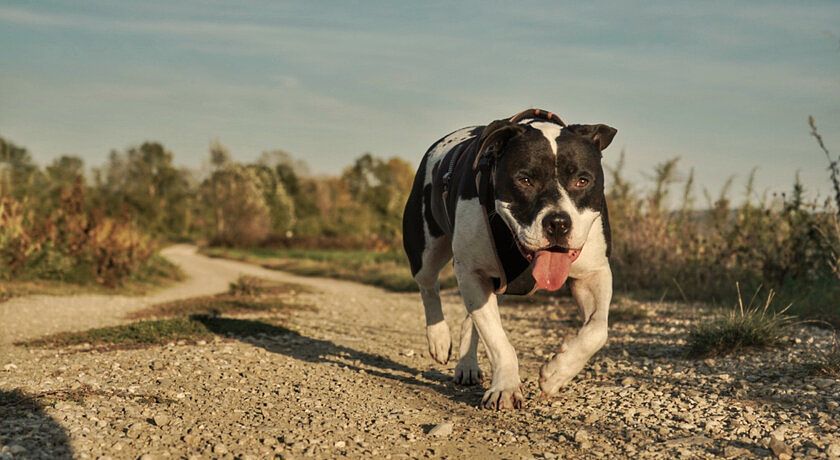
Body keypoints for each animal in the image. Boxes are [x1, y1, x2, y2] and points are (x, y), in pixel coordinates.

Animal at [402, 108, 616, 410]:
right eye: (524, 179)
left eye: (582, 181)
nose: (558, 223)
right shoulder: (473, 273)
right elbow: (498, 341)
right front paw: (505, 387)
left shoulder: (593, 273)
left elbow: (597, 330)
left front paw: (557, 373)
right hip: (425, 247)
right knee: (428, 286)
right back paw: (439, 339)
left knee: (470, 318)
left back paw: (467, 365)